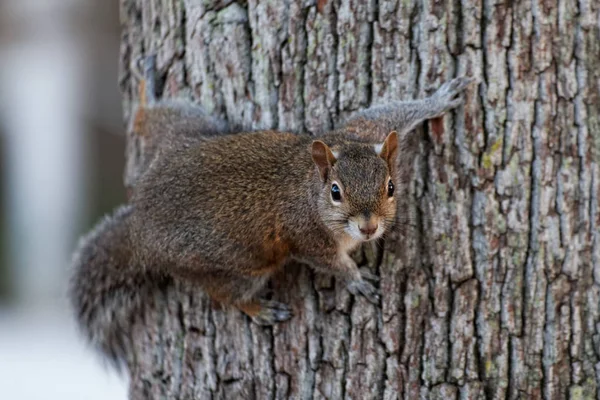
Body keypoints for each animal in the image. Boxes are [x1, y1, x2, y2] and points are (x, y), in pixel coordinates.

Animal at [69, 54, 474, 370]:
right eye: (336, 192)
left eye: (390, 187)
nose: (369, 228)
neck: (308, 188)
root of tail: (139, 223)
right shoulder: (306, 238)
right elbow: (331, 263)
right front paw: (356, 279)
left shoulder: (362, 130)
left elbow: (392, 112)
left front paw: (437, 100)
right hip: (232, 268)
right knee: (227, 296)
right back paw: (259, 310)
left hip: (188, 129)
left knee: (151, 116)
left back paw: (148, 88)